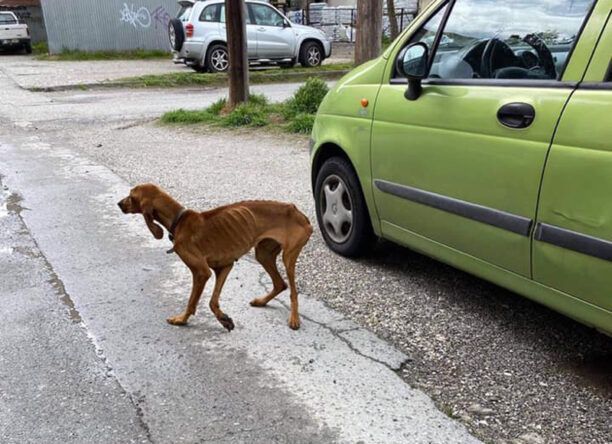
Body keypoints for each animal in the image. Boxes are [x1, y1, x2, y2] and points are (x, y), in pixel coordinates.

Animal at [117, 182, 314, 332]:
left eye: (131, 195)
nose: (119, 203)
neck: (179, 220)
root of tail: (299, 213)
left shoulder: (201, 272)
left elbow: (192, 302)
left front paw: (181, 320)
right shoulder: (224, 267)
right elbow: (213, 302)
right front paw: (224, 319)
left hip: (288, 257)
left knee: (293, 291)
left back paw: (294, 318)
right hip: (263, 254)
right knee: (280, 284)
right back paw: (261, 301)